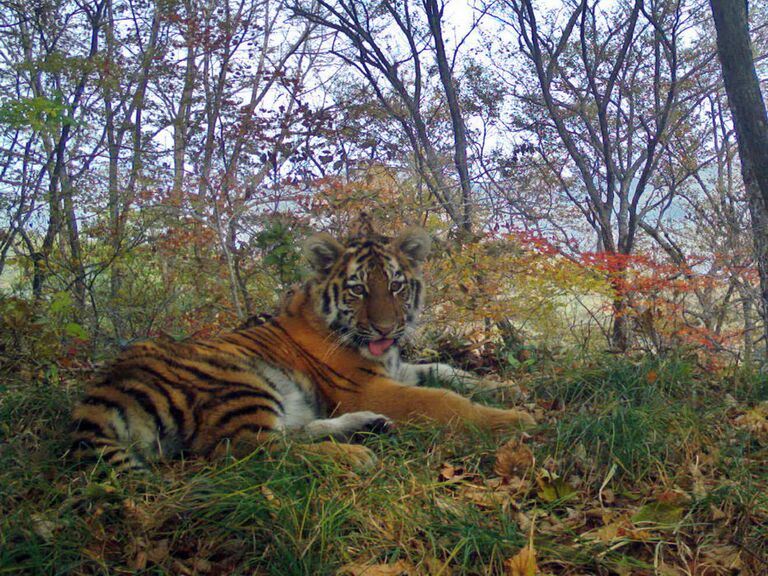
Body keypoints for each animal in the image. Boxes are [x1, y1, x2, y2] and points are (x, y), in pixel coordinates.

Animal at [72, 225, 536, 472]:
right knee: (253, 449)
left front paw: (507, 389)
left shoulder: (397, 369)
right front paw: (514, 419)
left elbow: (448, 371)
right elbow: (443, 400)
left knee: (289, 433)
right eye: (358, 289)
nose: (387, 328)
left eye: (396, 286)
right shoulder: (369, 387)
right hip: (240, 381)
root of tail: (97, 394)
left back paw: (367, 426)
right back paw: (355, 454)